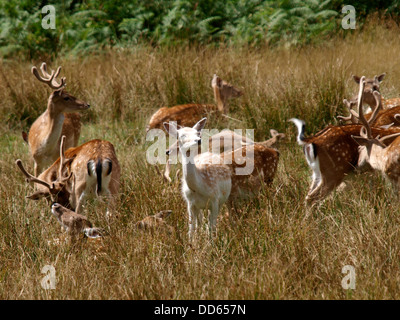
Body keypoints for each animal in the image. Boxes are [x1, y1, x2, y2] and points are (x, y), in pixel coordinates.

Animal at [290, 76, 400, 205]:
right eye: (358, 148)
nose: (356, 166)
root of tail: (313, 139)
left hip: (317, 173)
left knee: (309, 195)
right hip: (333, 172)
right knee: (313, 197)